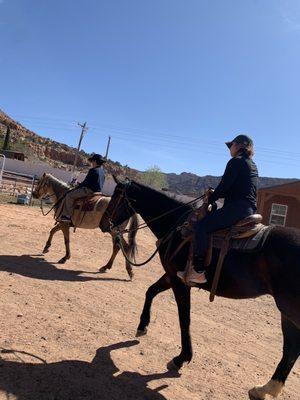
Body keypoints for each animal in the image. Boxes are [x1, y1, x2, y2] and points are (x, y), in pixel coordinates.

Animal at [101, 180, 300, 398]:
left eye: (116, 197)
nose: (103, 224)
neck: (175, 225)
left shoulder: (179, 281)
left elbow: (184, 318)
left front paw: (181, 358)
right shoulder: (172, 275)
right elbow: (150, 291)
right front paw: (142, 326)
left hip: (289, 309)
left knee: (291, 348)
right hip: (287, 312)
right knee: (291, 349)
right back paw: (265, 388)